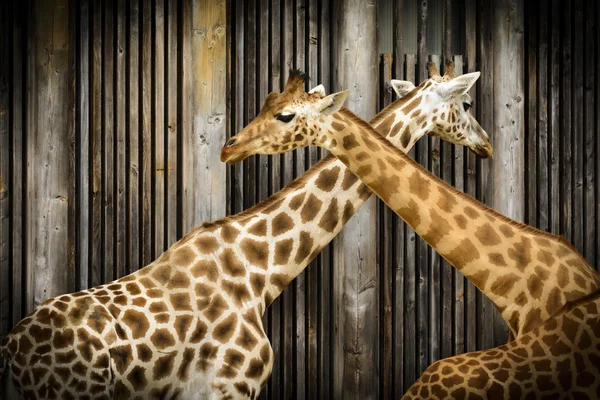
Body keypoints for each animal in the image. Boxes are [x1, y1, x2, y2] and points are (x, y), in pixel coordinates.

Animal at [0, 67, 490, 398]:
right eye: (466, 104)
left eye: (283, 113)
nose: (485, 143)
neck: (262, 273)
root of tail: (11, 349)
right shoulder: (230, 386)